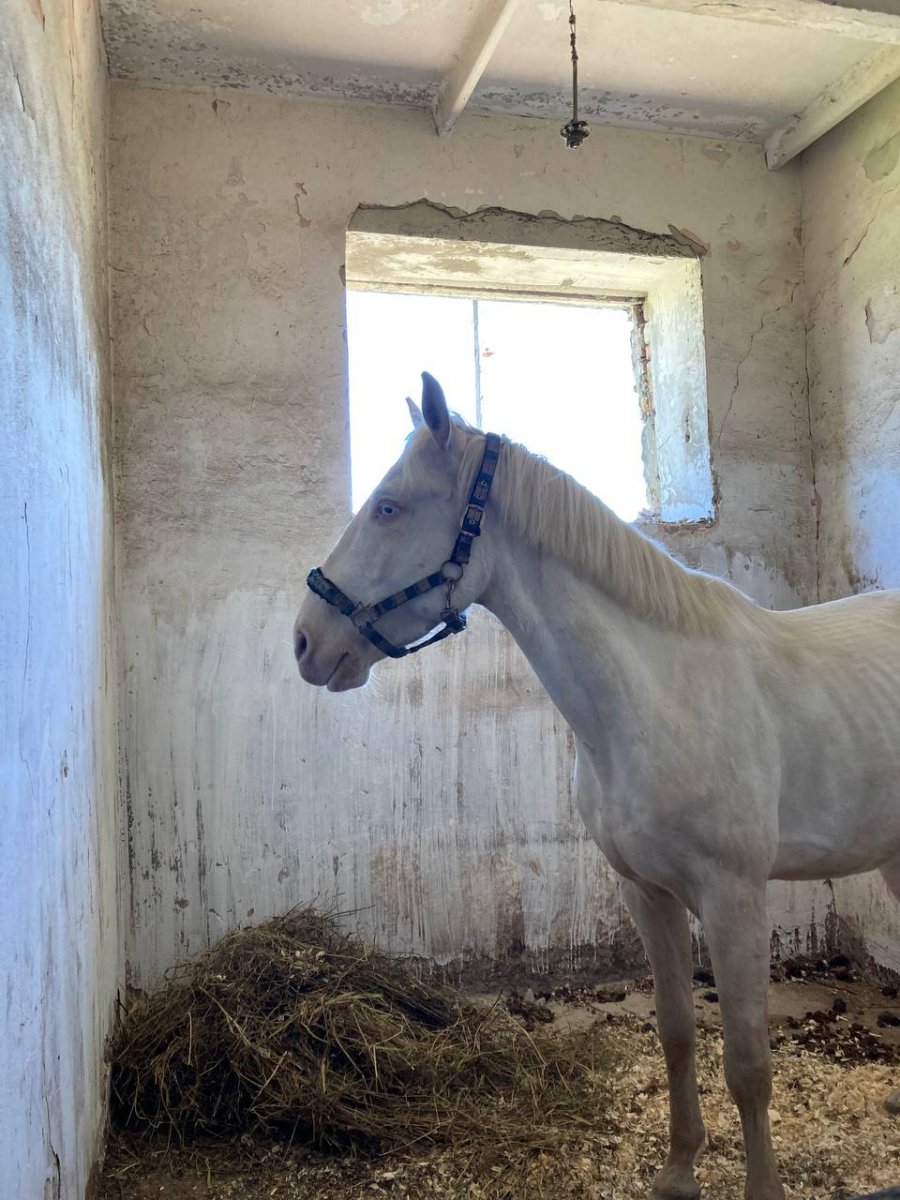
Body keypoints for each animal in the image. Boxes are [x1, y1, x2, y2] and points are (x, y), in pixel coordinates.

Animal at [296, 369, 900, 1195]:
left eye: (389, 506)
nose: (305, 641)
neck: (657, 693)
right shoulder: (645, 892)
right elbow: (677, 1033)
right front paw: (678, 1171)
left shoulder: (736, 898)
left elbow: (748, 1065)